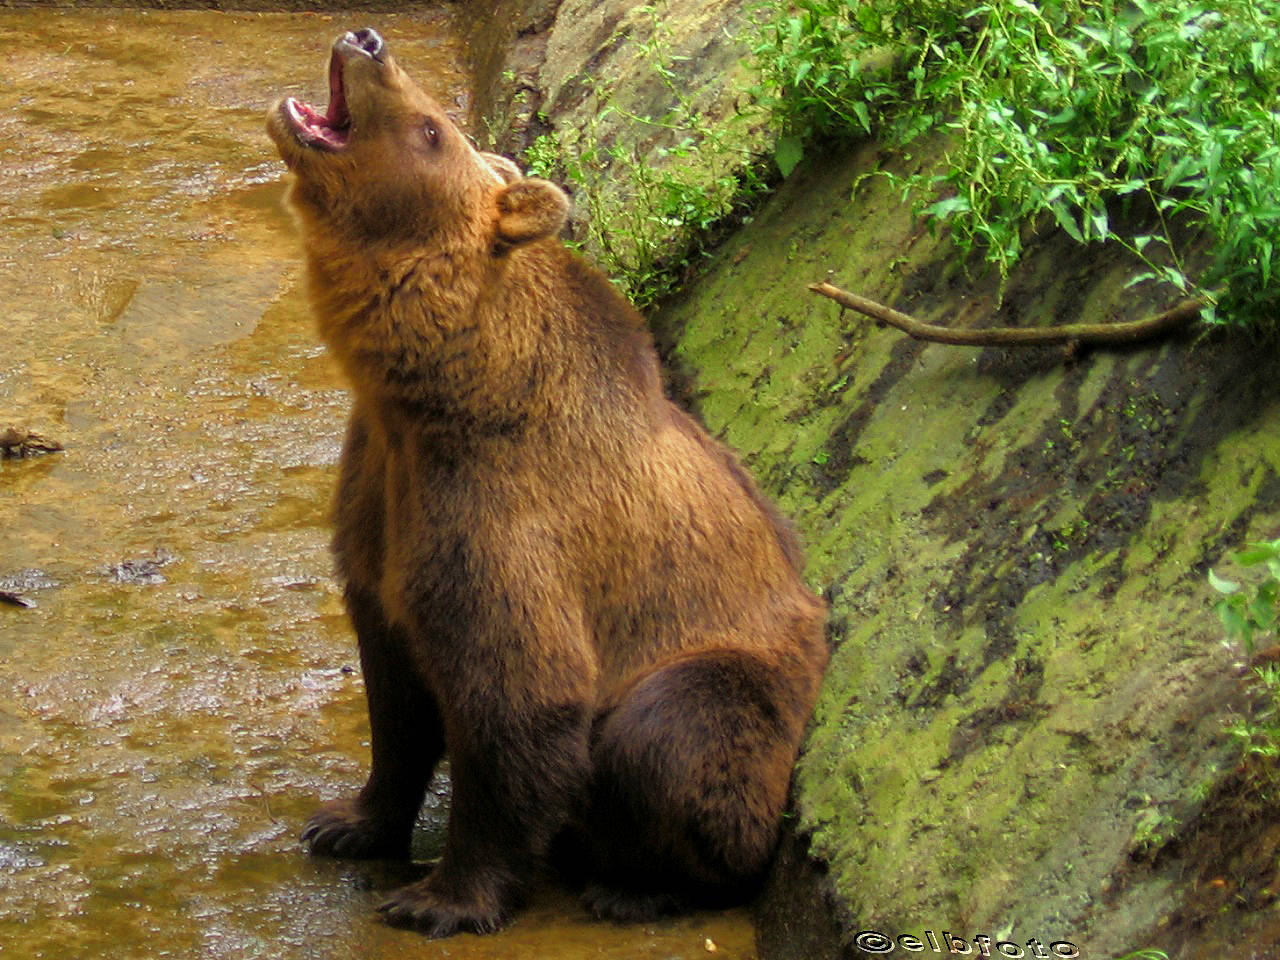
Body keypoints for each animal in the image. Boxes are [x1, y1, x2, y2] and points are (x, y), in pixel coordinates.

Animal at [266, 28, 834, 942]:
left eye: (430, 127)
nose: (368, 40)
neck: (430, 396)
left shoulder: (501, 511)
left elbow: (518, 695)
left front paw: (441, 897)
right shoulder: (379, 497)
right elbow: (393, 688)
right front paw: (347, 822)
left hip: (745, 677)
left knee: (672, 731)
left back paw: (636, 885)